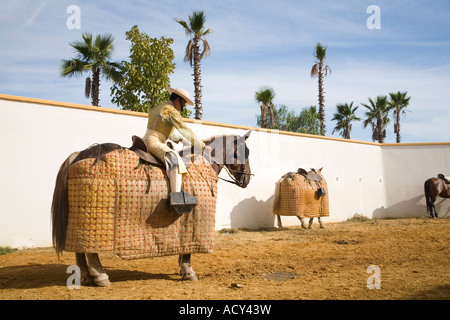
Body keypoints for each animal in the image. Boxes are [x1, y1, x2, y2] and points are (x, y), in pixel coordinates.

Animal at [51, 131, 253, 286]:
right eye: (245, 152)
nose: (247, 179)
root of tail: (80, 154)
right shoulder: (193, 221)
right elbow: (188, 249)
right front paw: (188, 271)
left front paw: (182, 268)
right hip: (95, 215)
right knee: (91, 248)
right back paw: (100, 276)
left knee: (79, 247)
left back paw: (85, 276)